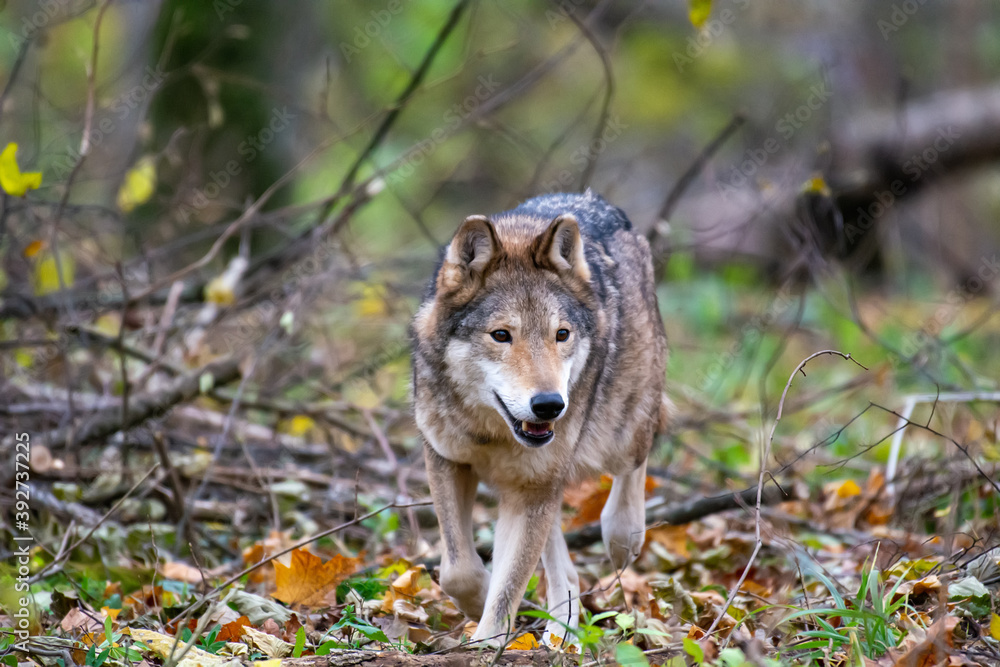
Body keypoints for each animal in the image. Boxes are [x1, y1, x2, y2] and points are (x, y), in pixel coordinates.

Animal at [411, 190, 668, 646]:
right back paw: (561, 632)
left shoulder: (532, 488)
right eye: (501, 335)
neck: (491, 434)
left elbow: (507, 588)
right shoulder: (447, 460)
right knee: (565, 572)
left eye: (561, 335)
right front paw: (478, 607)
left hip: (621, 431)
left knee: (632, 474)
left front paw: (485, 643)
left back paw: (622, 536)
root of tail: (596, 202)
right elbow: (458, 570)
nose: (550, 405)